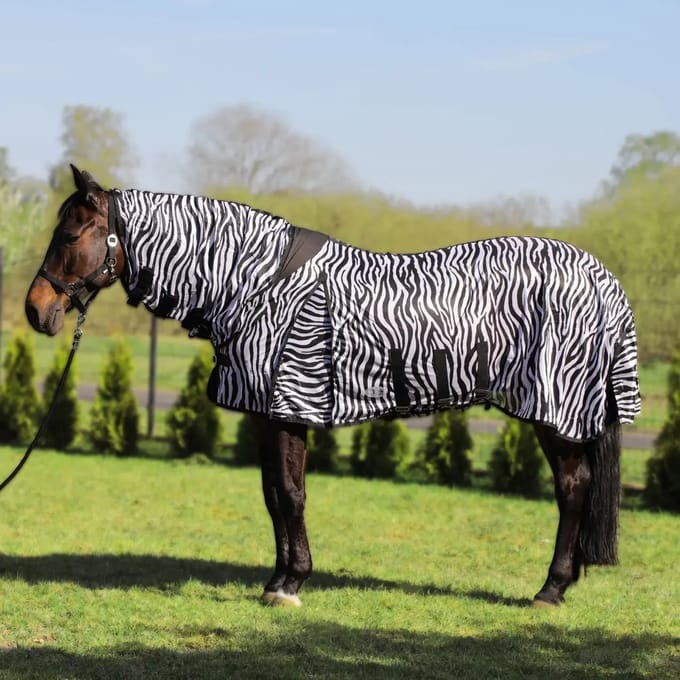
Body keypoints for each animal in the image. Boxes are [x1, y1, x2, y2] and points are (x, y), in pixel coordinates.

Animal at [25, 165, 640, 608]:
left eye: (72, 233)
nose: (36, 310)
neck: (255, 282)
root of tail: (604, 280)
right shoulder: (272, 414)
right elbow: (275, 495)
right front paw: (279, 580)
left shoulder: (287, 406)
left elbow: (289, 495)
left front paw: (291, 584)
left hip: (555, 412)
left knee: (573, 489)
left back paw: (550, 590)